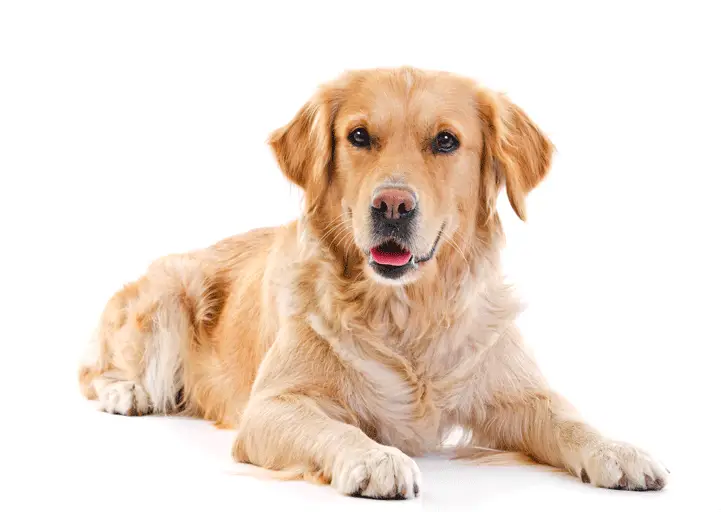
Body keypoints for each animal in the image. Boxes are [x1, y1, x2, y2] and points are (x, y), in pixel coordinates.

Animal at [76, 66, 668, 498]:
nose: (392, 206)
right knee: (93, 370)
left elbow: (568, 419)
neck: (404, 313)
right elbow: (335, 427)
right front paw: (375, 457)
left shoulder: (515, 393)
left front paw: (619, 450)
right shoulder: (271, 406)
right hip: (167, 297)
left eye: (446, 141)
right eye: (359, 136)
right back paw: (126, 390)